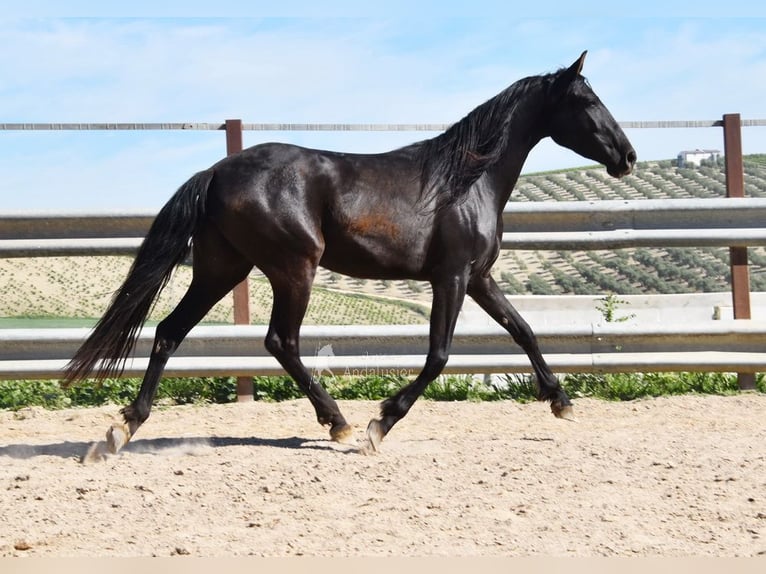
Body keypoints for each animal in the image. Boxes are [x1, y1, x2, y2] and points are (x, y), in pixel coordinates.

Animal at [64, 51, 636, 456]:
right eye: (587, 102)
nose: (628, 156)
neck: (468, 179)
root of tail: (216, 172)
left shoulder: (479, 278)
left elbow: (524, 331)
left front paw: (561, 401)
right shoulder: (450, 277)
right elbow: (439, 355)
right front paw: (379, 425)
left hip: (222, 268)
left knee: (168, 332)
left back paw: (122, 429)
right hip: (294, 268)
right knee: (280, 341)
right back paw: (338, 423)